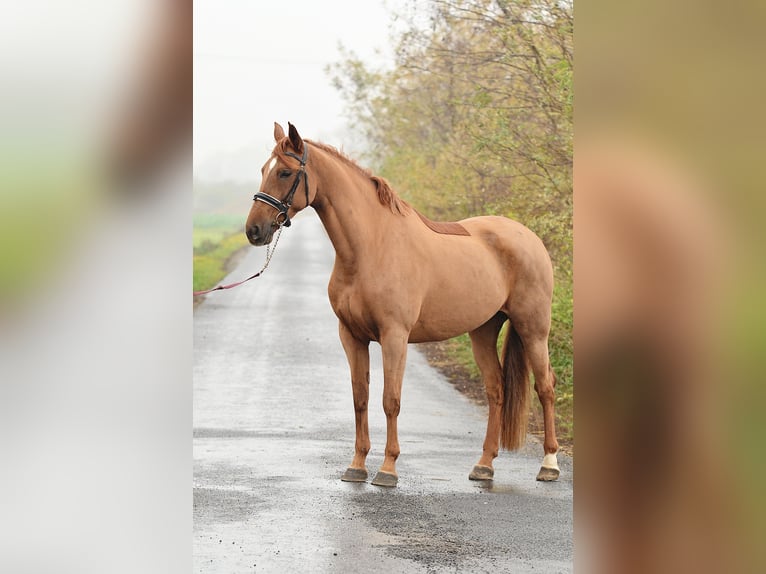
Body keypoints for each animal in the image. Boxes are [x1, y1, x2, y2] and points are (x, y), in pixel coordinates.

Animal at [249, 124, 560, 488]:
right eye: (263, 170)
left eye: (284, 172)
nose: (254, 230)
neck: (371, 247)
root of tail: (528, 236)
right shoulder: (351, 336)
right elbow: (360, 398)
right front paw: (356, 466)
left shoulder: (394, 336)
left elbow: (390, 400)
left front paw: (388, 470)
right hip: (483, 329)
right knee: (496, 389)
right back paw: (484, 466)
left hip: (533, 327)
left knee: (545, 386)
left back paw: (549, 464)